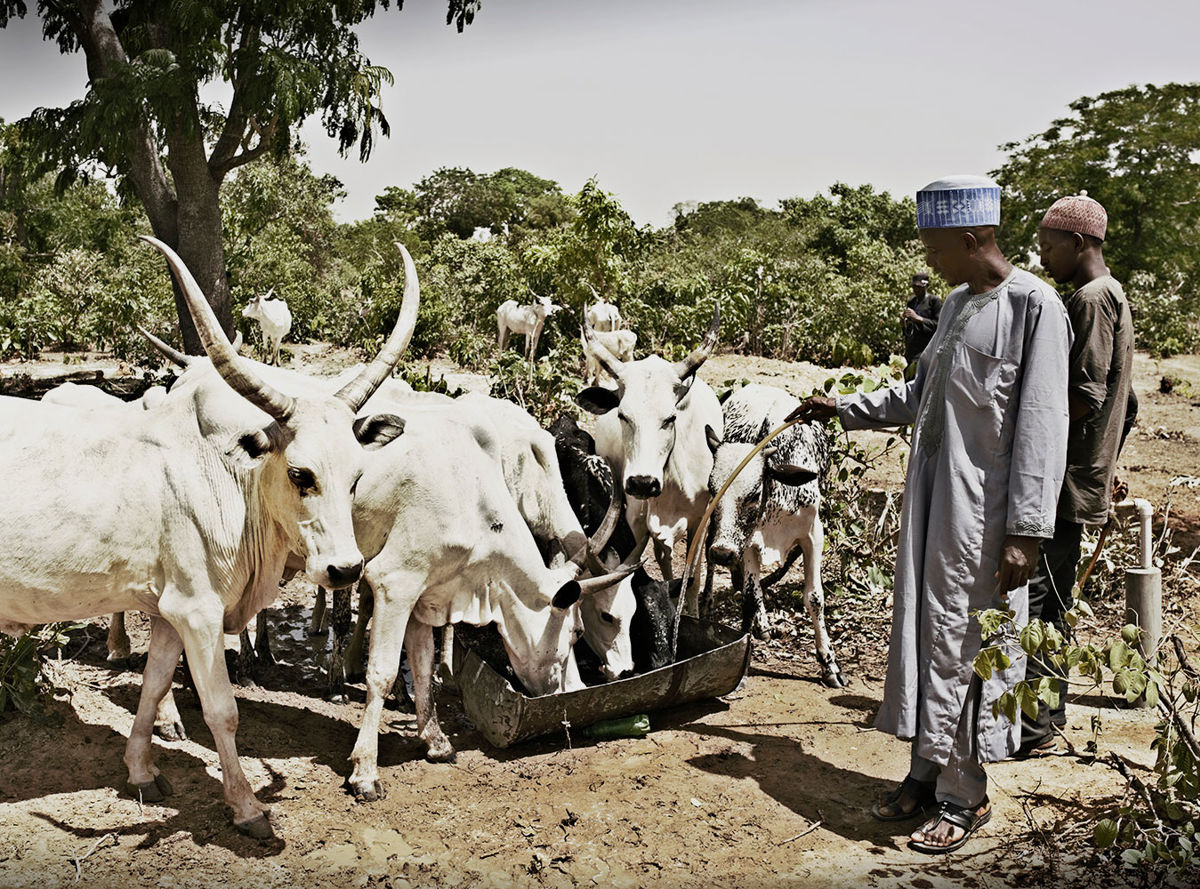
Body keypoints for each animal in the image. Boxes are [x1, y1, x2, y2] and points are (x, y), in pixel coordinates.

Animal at [700, 381, 844, 686]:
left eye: (754, 495)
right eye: (712, 488)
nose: (723, 552)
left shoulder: (813, 535)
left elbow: (815, 598)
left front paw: (829, 664)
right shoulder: (749, 543)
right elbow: (750, 595)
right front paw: (741, 665)